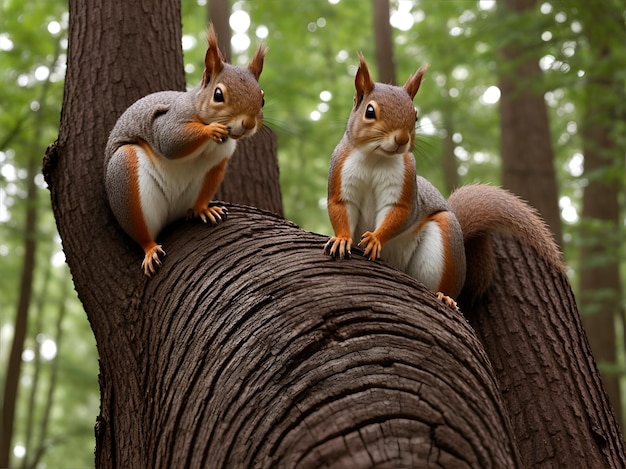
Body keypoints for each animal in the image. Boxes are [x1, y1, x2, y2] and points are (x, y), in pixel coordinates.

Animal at [105, 23, 266, 274]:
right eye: (218, 95)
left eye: (263, 99)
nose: (248, 124)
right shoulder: (169, 119)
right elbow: (170, 141)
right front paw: (211, 129)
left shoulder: (219, 160)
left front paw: (206, 209)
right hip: (125, 175)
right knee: (141, 231)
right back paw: (150, 248)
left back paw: (197, 211)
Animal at [324, 54, 564, 308]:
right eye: (369, 111)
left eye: (415, 114)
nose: (401, 139)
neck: (375, 158)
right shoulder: (340, 172)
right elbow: (340, 205)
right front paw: (342, 239)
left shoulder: (406, 182)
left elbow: (401, 211)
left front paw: (375, 238)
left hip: (443, 242)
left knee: (441, 284)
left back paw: (445, 296)